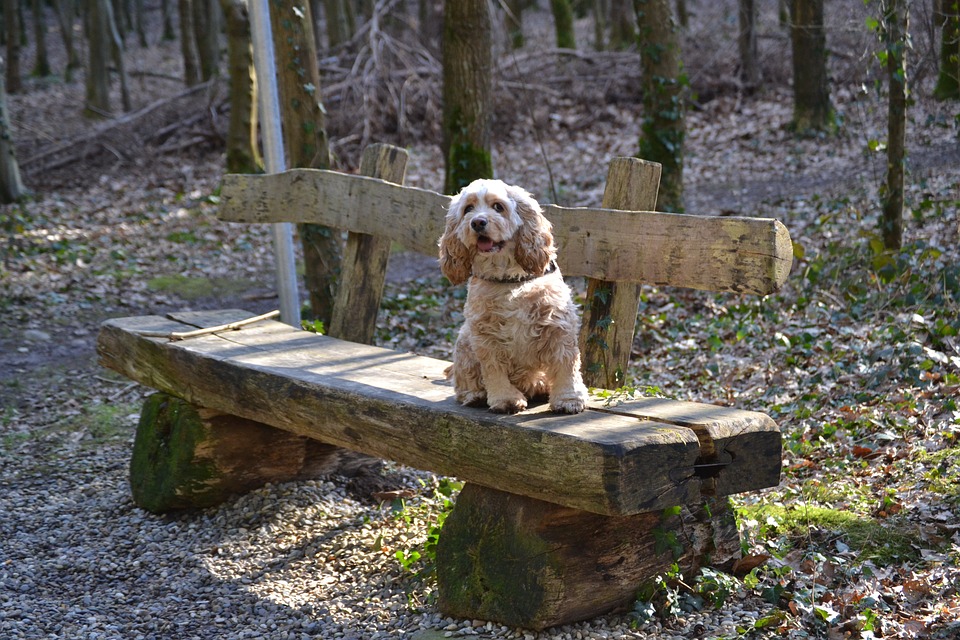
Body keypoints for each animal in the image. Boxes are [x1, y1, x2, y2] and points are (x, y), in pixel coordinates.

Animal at [438, 179, 588, 416]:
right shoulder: (485, 335)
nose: (477, 222)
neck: (509, 279)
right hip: (464, 340)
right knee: (464, 379)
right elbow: (494, 371)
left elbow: (566, 365)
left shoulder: (558, 326)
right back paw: (474, 395)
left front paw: (569, 399)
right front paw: (505, 399)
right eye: (468, 209)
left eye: (498, 206)